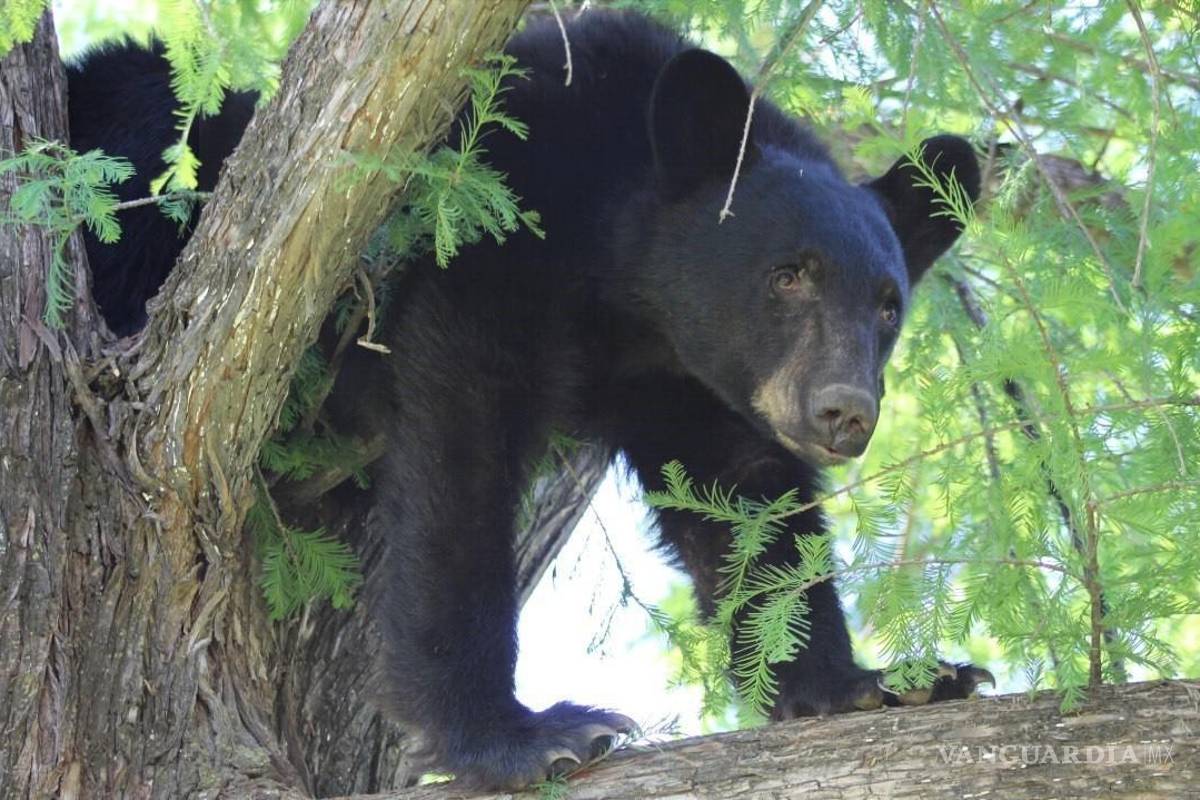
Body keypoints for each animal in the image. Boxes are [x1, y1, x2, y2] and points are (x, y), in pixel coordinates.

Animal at [69, 10, 990, 790]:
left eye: (887, 305)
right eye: (788, 274)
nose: (844, 412)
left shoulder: (690, 379)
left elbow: (746, 505)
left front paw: (876, 679)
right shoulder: (493, 229)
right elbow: (462, 456)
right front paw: (521, 735)